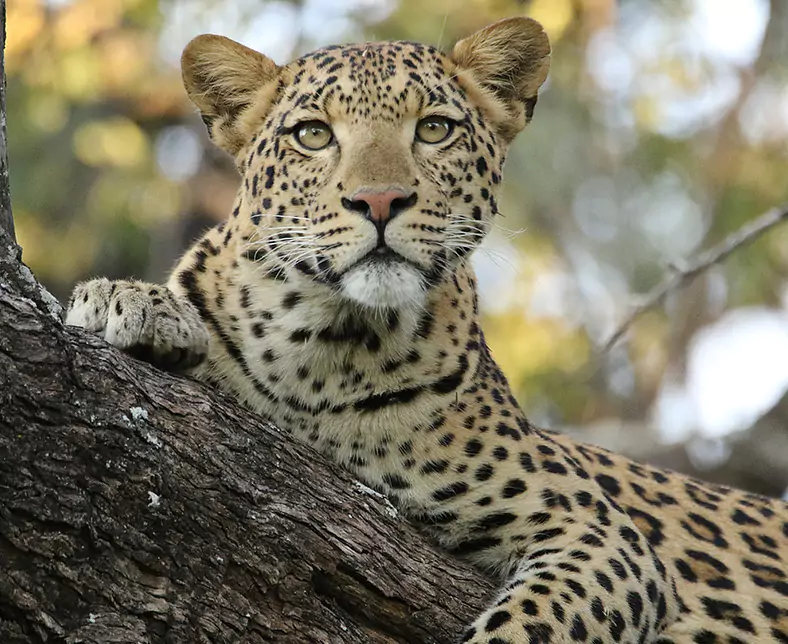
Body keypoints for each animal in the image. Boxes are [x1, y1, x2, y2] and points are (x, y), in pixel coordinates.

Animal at [65, 16, 788, 643]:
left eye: (435, 129)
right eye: (313, 135)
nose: (380, 201)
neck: (324, 353)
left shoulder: (597, 531)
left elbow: (539, 620)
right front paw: (126, 302)